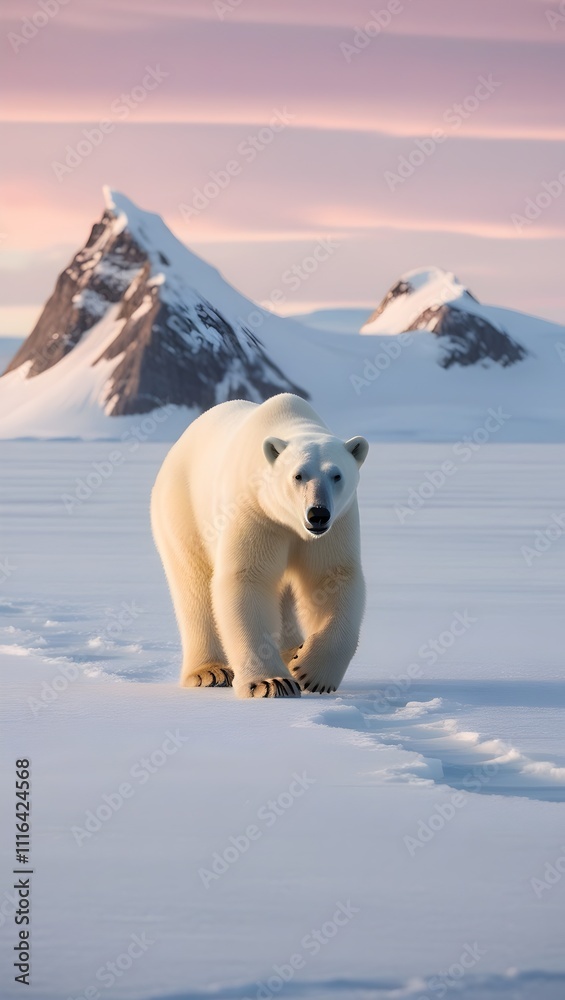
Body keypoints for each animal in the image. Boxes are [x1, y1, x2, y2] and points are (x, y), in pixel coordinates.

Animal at [150, 392, 369, 698]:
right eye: (298, 475)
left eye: (336, 475)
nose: (317, 513)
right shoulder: (255, 511)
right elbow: (247, 578)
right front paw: (271, 682)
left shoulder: (336, 525)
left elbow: (333, 578)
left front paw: (311, 671)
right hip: (182, 510)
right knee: (193, 583)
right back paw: (210, 671)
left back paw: (293, 651)